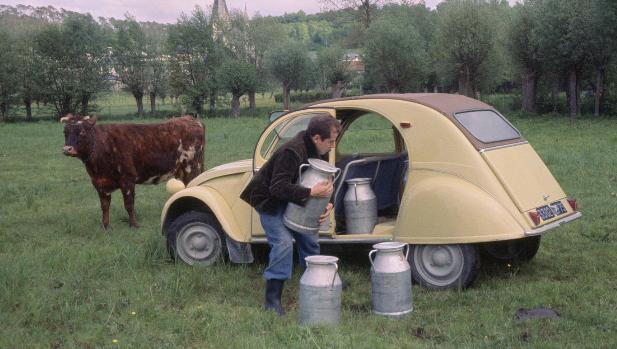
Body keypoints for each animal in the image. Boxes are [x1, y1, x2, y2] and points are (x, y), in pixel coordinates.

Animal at [61, 114, 205, 228]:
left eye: (82, 132)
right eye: (65, 132)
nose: (67, 149)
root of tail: (189, 118)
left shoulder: (128, 179)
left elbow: (129, 204)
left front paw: (134, 224)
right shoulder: (99, 184)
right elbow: (105, 206)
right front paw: (105, 226)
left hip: (192, 167)